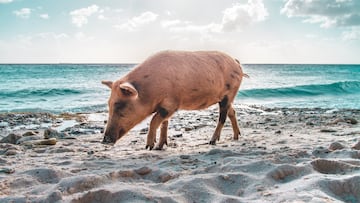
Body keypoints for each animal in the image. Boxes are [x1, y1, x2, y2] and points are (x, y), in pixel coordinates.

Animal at [100, 50, 248, 150]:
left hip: (229, 93)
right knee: (232, 112)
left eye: (120, 105)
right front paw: (159, 147)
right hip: (225, 97)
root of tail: (236, 62)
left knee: (222, 117)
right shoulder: (166, 107)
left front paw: (149, 147)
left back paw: (212, 141)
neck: (150, 90)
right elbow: (164, 123)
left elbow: (154, 120)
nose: (104, 140)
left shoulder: (171, 104)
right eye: (109, 104)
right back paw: (236, 137)